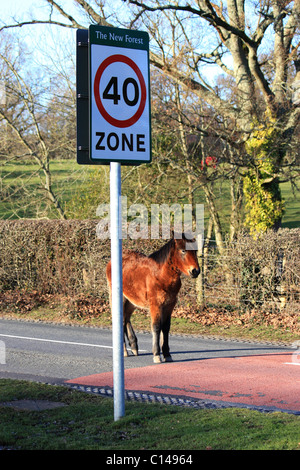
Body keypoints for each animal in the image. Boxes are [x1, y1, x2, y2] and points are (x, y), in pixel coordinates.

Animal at [105, 234, 199, 364]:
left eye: (196, 251)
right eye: (183, 250)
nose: (195, 271)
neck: (160, 275)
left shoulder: (170, 305)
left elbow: (166, 327)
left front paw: (167, 354)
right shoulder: (156, 304)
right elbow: (156, 327)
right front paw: (156, 355)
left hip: (132, 301)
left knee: (126, 319)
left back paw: (134, 346)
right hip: (120, 298)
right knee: (121, 320)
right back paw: (124, 351)